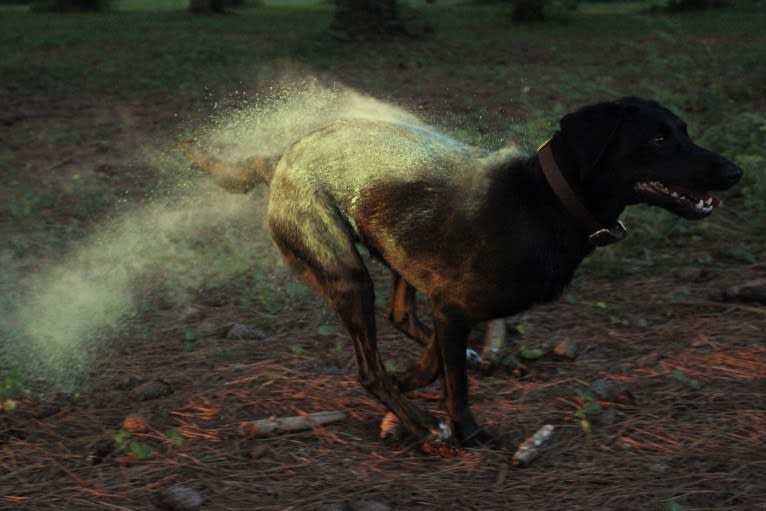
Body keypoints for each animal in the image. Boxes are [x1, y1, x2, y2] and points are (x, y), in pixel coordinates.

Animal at [182, 98, 744, 446]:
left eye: (683, 132)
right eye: (657, 139)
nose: (735, 171)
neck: (546, 201)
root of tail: (280, 157)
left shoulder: (448, 304)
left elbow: (438, 359)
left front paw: (419, 376)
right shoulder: (452, 306)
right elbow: (453, 382)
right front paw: (467, 431)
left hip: (395, 245)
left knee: (400, 315)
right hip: (345, 271)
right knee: (369, 367)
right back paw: (423, 425)